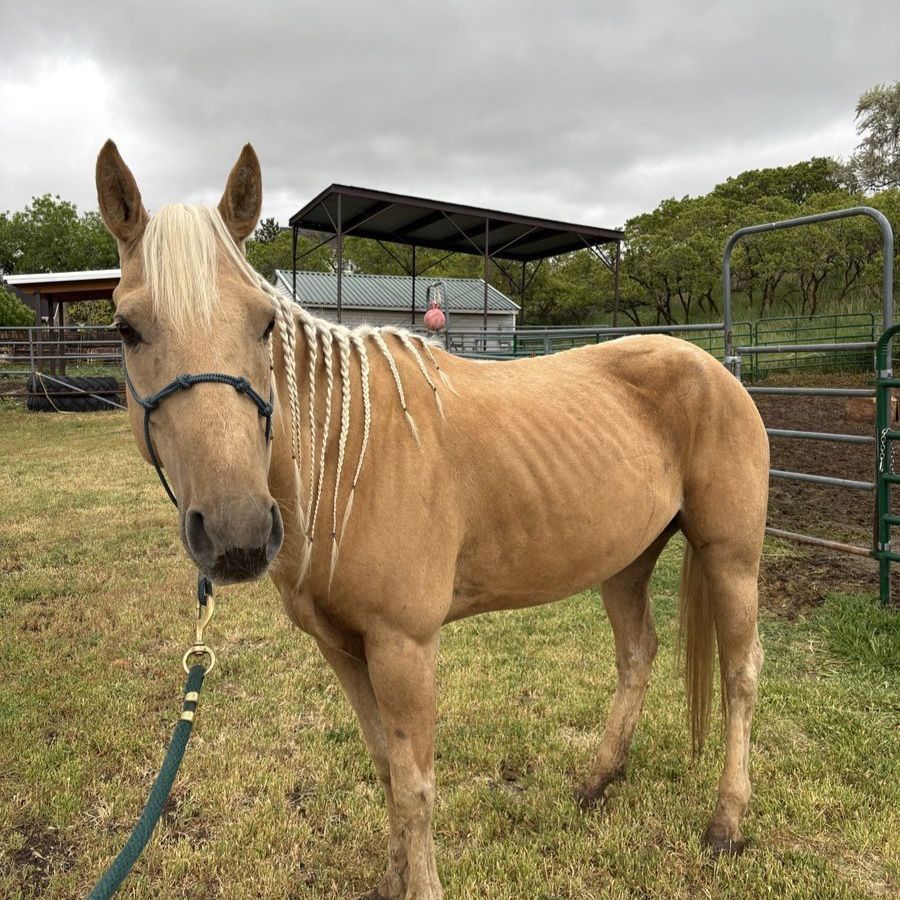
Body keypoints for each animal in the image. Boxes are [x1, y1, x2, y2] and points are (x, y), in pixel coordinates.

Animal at [95, 140, 768, 899]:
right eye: (126, 328)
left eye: (263, 323)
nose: (237, 534)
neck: (344, 460)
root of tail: (716, 369)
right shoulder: (342, 647)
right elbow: (387, 770)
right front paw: (392, 879)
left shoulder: (404, 646)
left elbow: (415, 784)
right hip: (626, 562)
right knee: (637, 656)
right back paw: (597, 781)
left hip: (731, 557)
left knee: (741, 673)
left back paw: (726, 822)